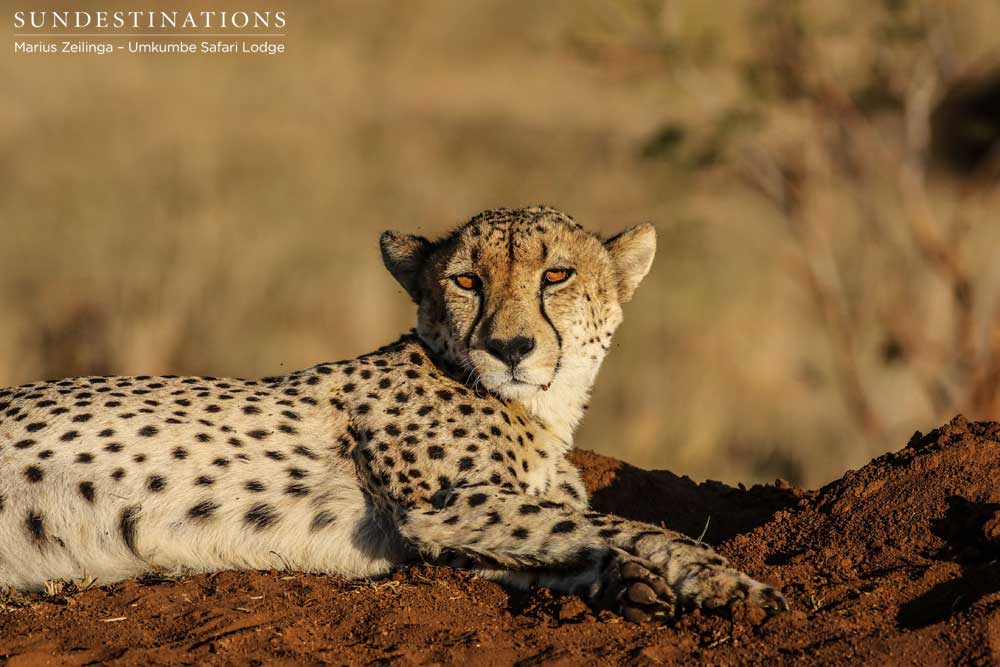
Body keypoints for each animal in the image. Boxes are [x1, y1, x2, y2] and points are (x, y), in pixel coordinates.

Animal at [0, 207, 788, 620]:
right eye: (466, 281)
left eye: (557, 274)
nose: (510, 346)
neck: (539, 408)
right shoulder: (444, 508)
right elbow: (631, 526)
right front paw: (728, 581)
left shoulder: (446, 533)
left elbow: (555, 546)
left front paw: (627, 583)